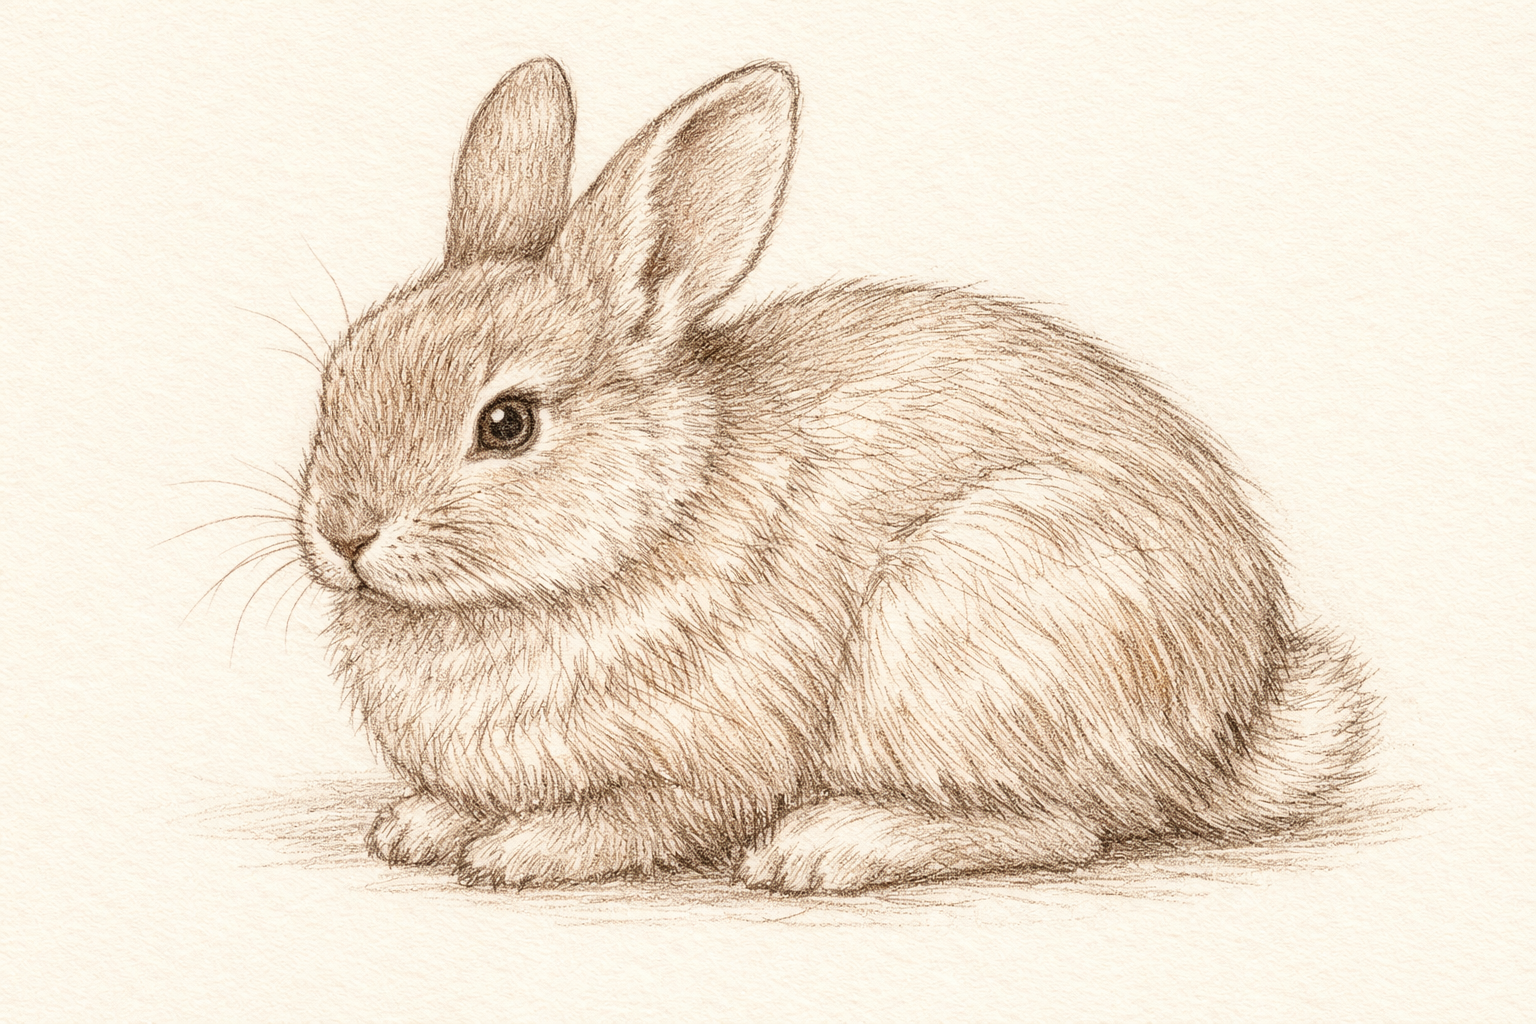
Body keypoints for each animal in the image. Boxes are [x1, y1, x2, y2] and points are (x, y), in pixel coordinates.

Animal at [296, 57, 1376, 894]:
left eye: (507, 424)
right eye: (337, 379)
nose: (344, 535)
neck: (650, 516)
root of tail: (1227, 731)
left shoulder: (717, 758)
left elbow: (652, 814)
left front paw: (522, 849)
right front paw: (417, 826)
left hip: (961, 618)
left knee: (1064, 828)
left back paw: (828, 847)